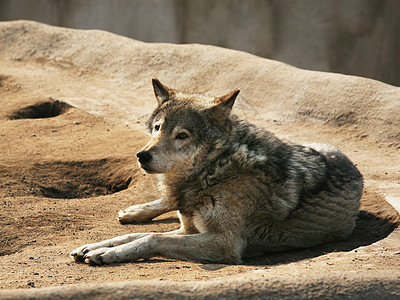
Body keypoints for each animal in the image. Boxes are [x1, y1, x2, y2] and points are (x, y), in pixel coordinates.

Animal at [70, 78, 364, 264]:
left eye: (182, 135)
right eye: (157, 128)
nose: (142, 156)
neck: (214, 170)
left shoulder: (222, 242)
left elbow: (151, 238)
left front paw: (106, 254)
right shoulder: (188, 229)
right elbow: (136, 235)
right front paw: (94, 246)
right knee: (167, 201)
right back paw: (135, 211)